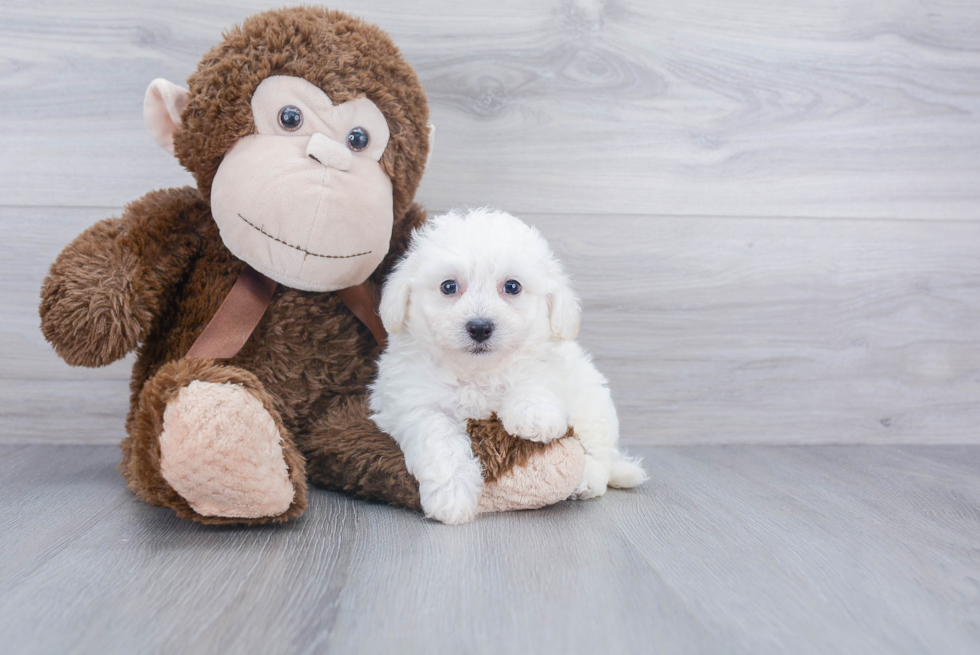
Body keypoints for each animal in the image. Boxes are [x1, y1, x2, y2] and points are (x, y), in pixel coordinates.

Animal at [368, 210, 644, 528]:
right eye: (448, 286)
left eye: (512, 286)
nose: (480, 327)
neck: (477, 371)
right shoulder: (413, 403)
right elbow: (438, 439)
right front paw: (452, 498)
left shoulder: (547, 365)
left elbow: (533, 377)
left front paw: (534, 416)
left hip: (592, 404)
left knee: (599, 453)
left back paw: (587, 479)